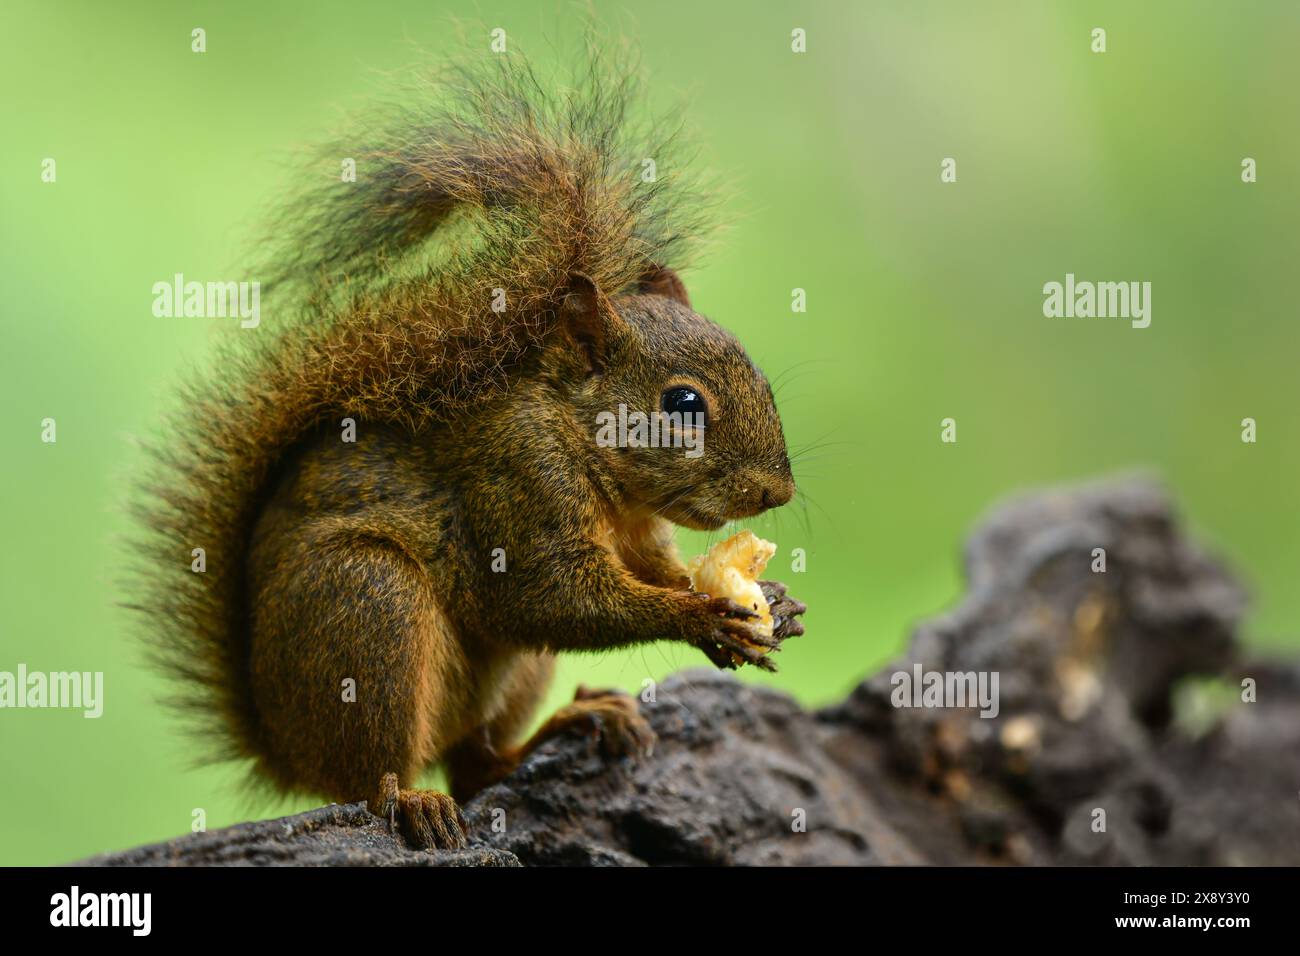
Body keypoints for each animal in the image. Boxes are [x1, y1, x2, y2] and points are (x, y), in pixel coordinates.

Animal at [130, 47, 803, 851]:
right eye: (683, 405)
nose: (777, 493)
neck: (577, 439)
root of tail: (283, 748)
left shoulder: (635, 531)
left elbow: (651, 571)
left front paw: (770, 602)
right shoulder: (515, 477)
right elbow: (552, 598)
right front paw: (702, 618)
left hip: (506, 675)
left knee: (478, 765)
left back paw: (571, 722)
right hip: (367, 605)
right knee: (372, 774)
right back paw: (410, 799)